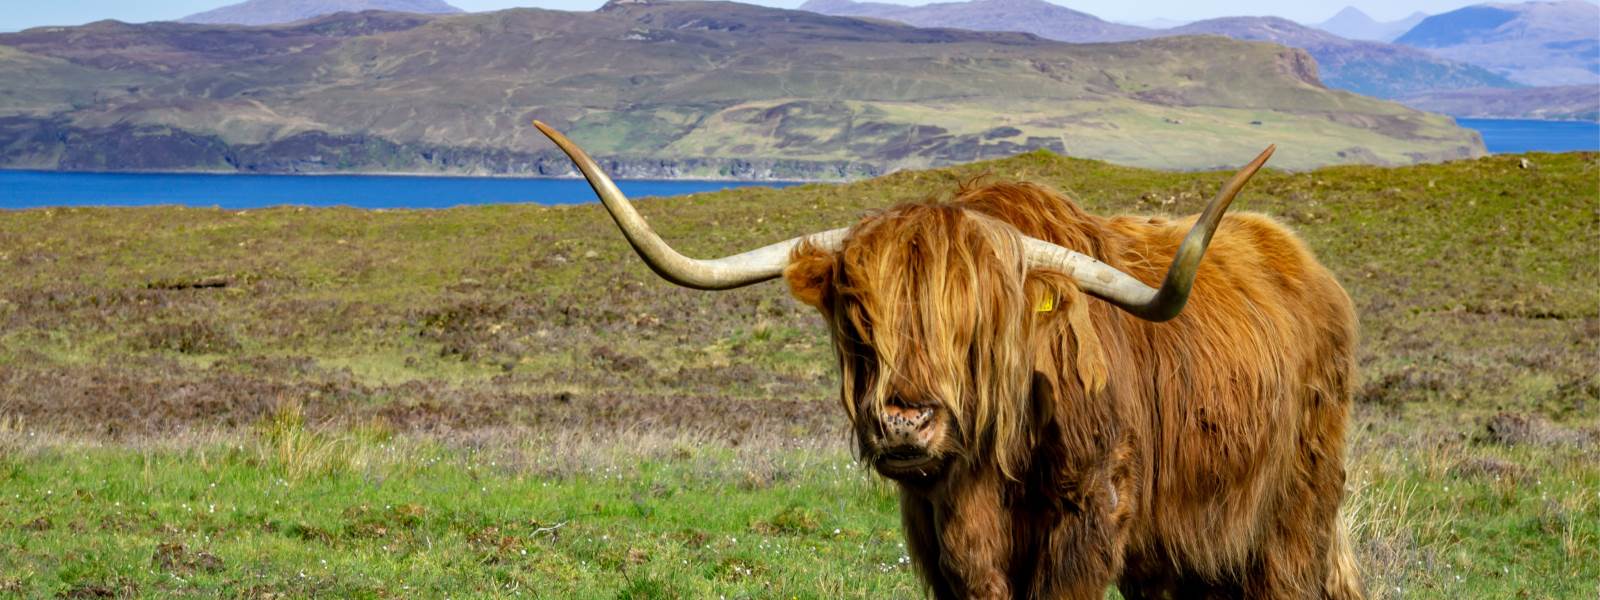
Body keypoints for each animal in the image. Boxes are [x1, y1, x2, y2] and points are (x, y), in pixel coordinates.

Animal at [533, 121, 1363, 599]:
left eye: (976, 326)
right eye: (858, 318)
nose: (906, 422)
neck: (996, 468)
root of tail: (1305, 265)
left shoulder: (1089, 520)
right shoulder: (942, 537)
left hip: (1294, 513)